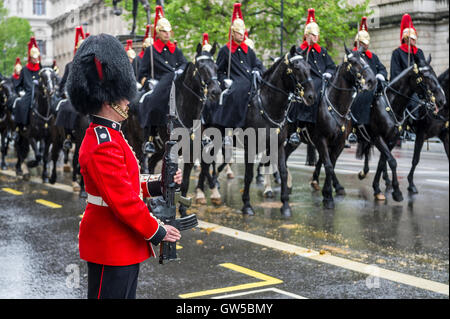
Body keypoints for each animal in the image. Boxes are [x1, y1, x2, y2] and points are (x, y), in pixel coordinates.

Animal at [284, 45, 376, 210]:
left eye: (364, 59)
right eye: (353, 62)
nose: (372, 80)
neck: (336, 105)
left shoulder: (338, 143)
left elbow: (331, 164)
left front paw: (329, 192)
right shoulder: (321, 140)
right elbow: (327, 165)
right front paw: (328, 196)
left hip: (294, 141)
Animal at [356, 55, 446, 200]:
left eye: (435, 75)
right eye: (426, 76)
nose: (441, 100)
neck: (390, 104)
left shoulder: (391, 140)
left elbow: (383, 162)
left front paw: (378, 188)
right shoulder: (379, 137)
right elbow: (397, 161)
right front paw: (400, 190)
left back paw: (368, 174)